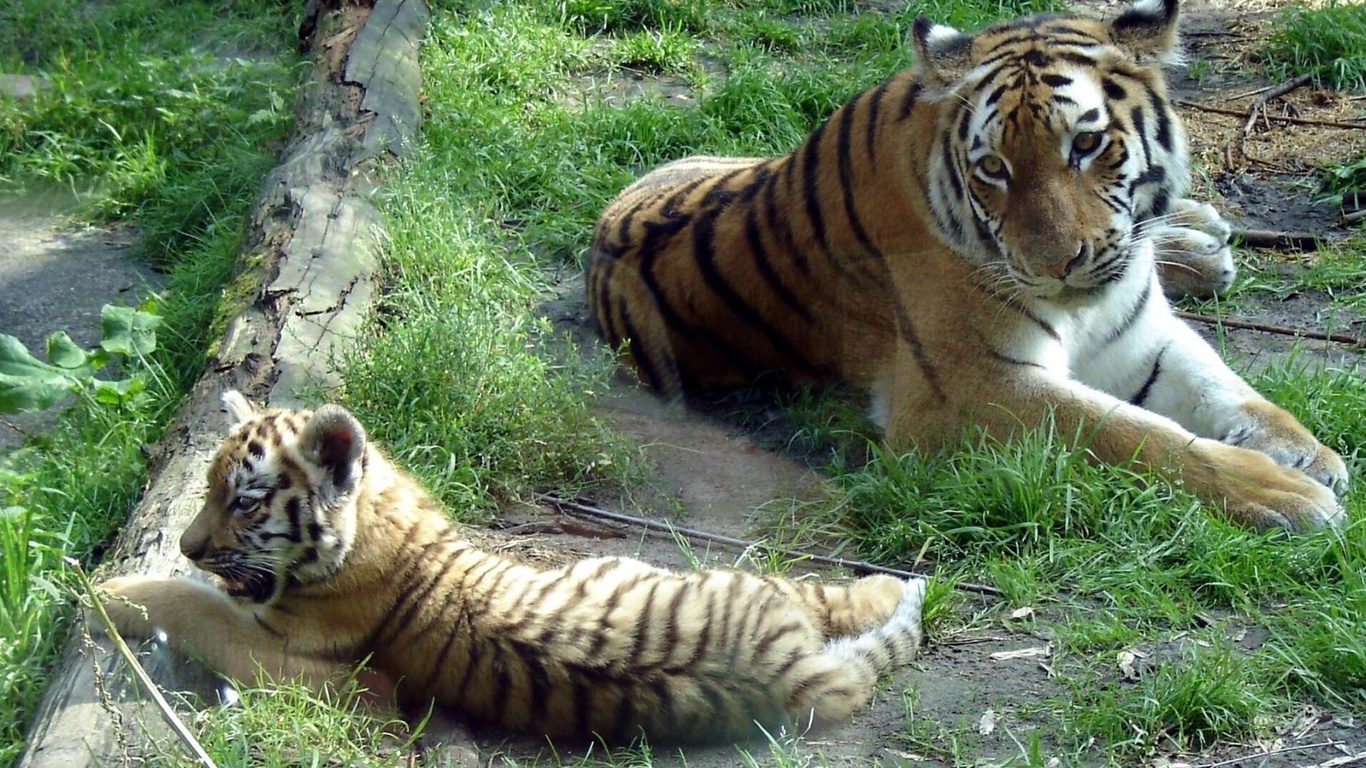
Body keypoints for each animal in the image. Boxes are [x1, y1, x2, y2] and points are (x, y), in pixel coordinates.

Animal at [587, 0, 1344, 524]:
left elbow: (1223, 385)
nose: (1054, 264)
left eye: (1087, 144)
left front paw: (1305, 450)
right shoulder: (968, 390)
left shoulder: (1140, 337)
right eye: (993, 168)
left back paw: (1198, 237)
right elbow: (1128, 433)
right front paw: (1284, 489)